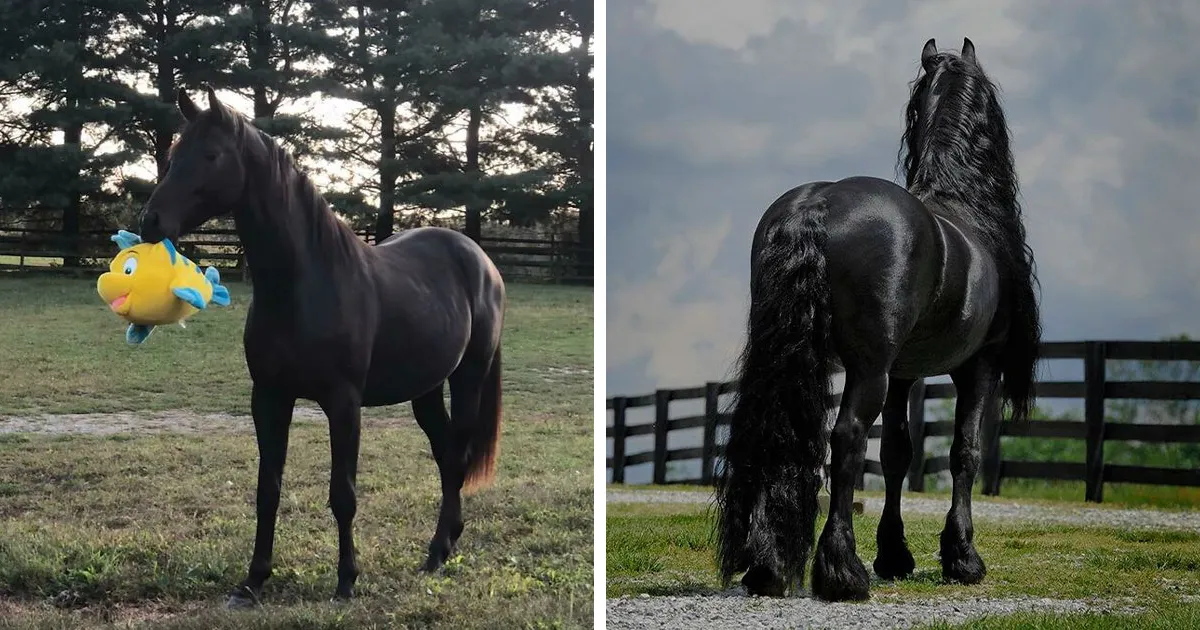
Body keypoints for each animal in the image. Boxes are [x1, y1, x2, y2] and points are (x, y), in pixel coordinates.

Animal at [138, 87, 506, 608]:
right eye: (173, 155)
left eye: (210, 155)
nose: (150, 221)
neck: (303, 283)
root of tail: (480, 260)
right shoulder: (269, 398)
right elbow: (267, 489)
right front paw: (253, 581)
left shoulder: (343, 403)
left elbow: (343, 493)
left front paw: (347, 580)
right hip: (426, 390)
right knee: (445, 454)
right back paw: (444, 546)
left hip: (469, 376)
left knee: (457, 454)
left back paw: (437, 553)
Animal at [714, 37, 1041, 602]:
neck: (965, 207)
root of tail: (818, 204)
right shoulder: (979, 367)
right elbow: (964, 452)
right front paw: (962, 558)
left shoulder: (904, 373)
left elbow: (896, 453)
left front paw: (895, 554)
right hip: (868, 370)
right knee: (845, 437)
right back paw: (842, 571)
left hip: (795, 357)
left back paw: (767, 568)